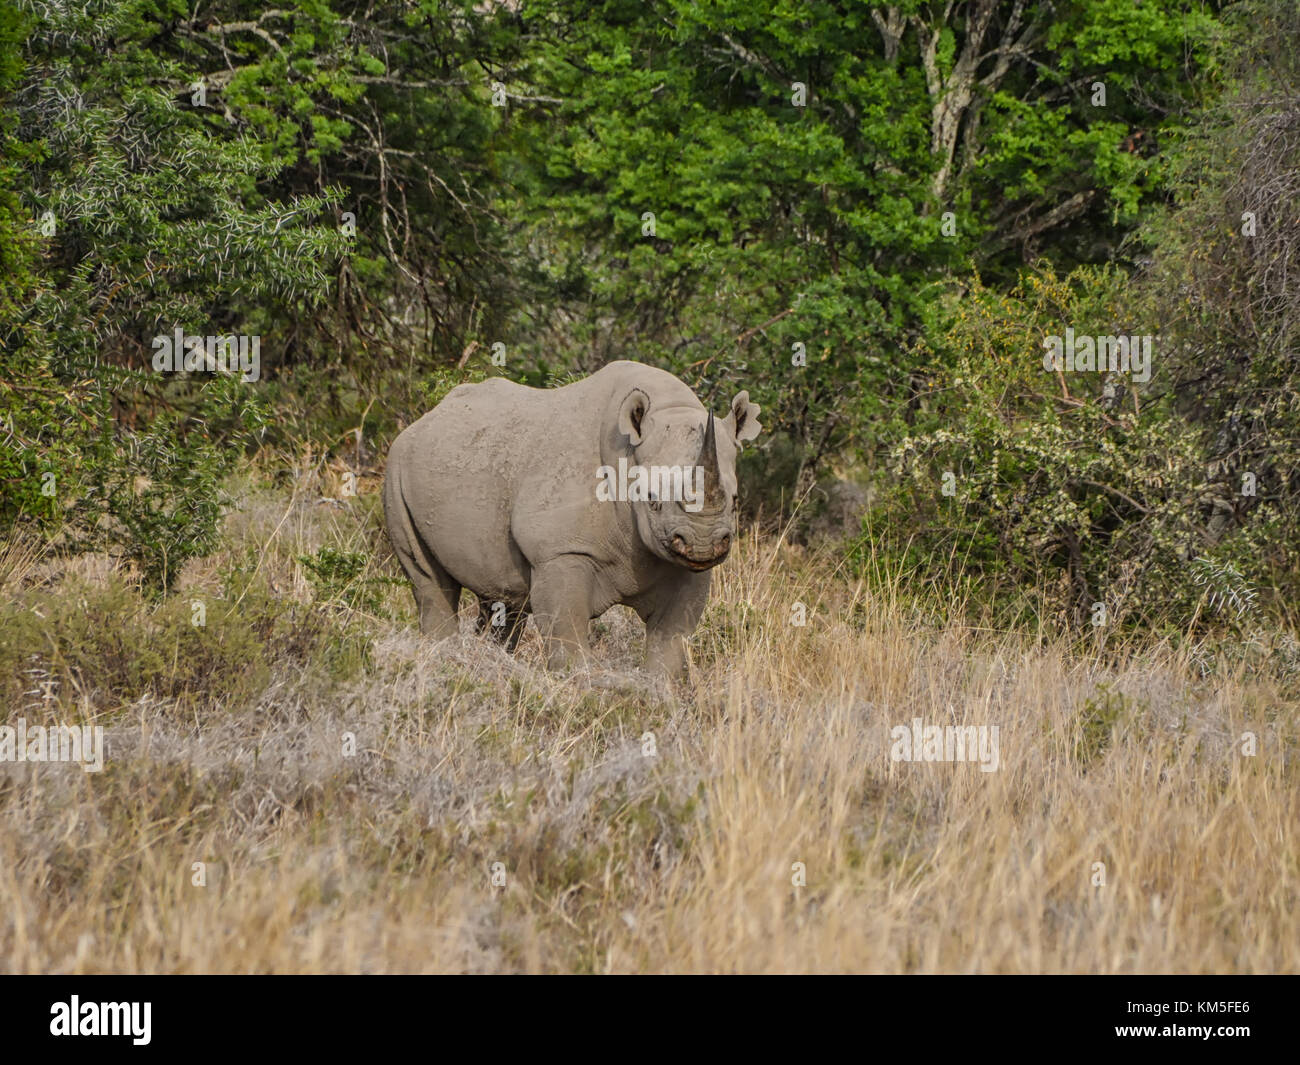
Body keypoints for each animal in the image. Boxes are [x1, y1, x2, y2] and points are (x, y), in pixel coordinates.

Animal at [383, 360, 761, 674]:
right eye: (652, 500)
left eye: (735, 499)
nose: (702, 545)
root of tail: (426, 417)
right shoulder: (560, 549)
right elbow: (567, 631)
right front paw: (579, 688)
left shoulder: (686, 568)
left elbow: (671, 639)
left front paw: (659, 695)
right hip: (397, 466)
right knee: (430, 582)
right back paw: (442, 661)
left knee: (502, 598)